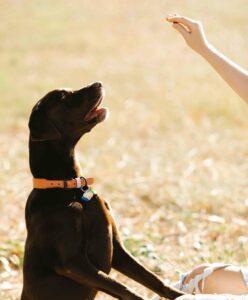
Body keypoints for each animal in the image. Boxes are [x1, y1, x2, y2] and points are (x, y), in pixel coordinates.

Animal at [21, 82, 184, 300]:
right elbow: (124, 288)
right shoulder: (71, 262)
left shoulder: (117, 250)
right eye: (63, 96)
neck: (70, 189)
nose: (98, 83)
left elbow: (153, 279)